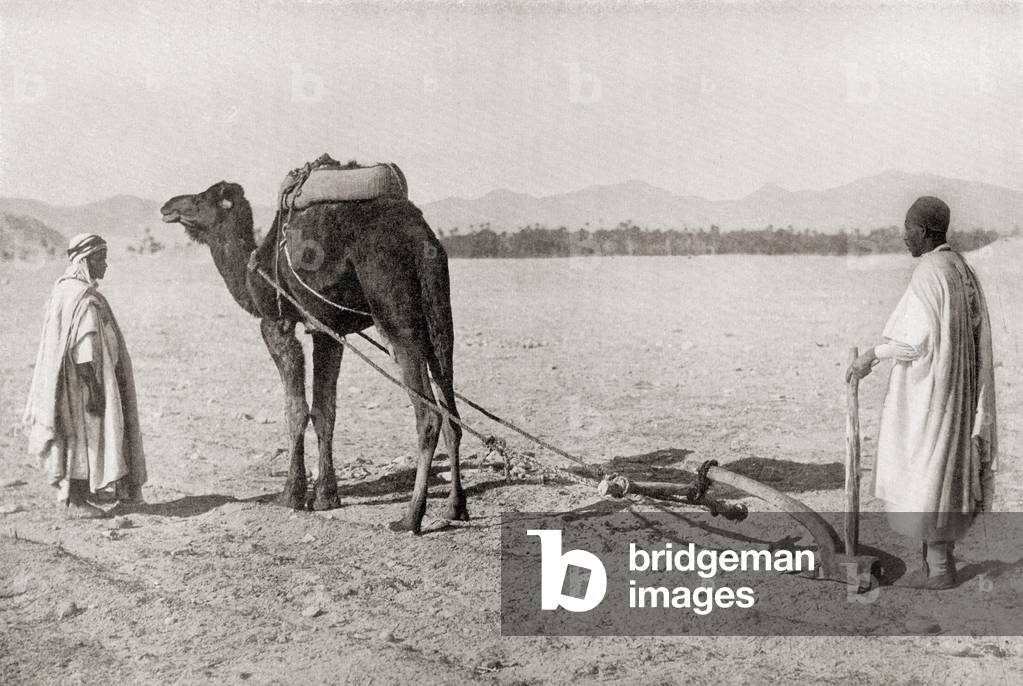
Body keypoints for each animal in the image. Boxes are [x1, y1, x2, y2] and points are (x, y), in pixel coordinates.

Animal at [159, 173, 466, 534]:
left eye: (199, 199)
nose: (167, 206)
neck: (254, 272)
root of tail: (421, 238)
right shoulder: (326, 330)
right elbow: (324, 411)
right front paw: (325, 496)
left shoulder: (276, 323)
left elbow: (296, 410)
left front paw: (291, 494)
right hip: (438, 313)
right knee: (451, 410)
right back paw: (455, 507)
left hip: (395, 313)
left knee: (429, 414)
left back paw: (410, 517)